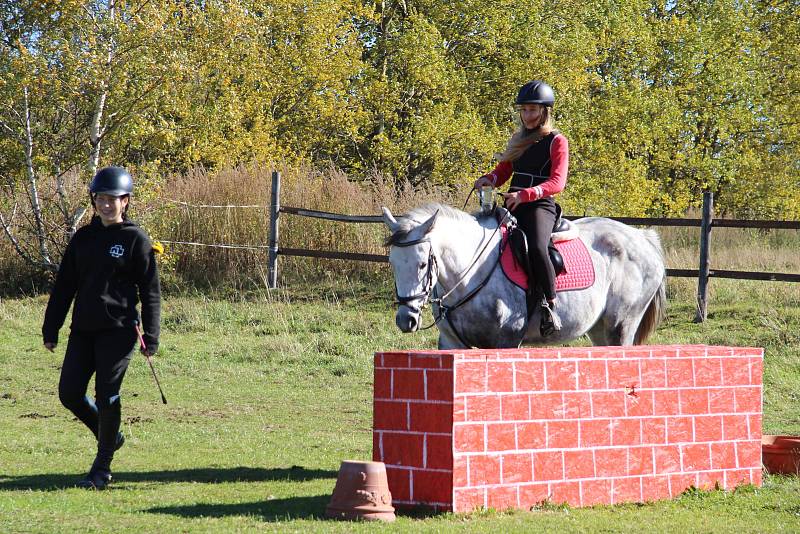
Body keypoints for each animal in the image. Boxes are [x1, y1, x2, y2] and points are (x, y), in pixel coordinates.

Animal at [380, 203, 664, 350]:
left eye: (421, 265)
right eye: (393, 263)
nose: (406, 320)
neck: (470, 272)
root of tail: (643, 237)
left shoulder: (505, 342)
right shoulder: (452, 344)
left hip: (621, 325)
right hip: (599, 330)